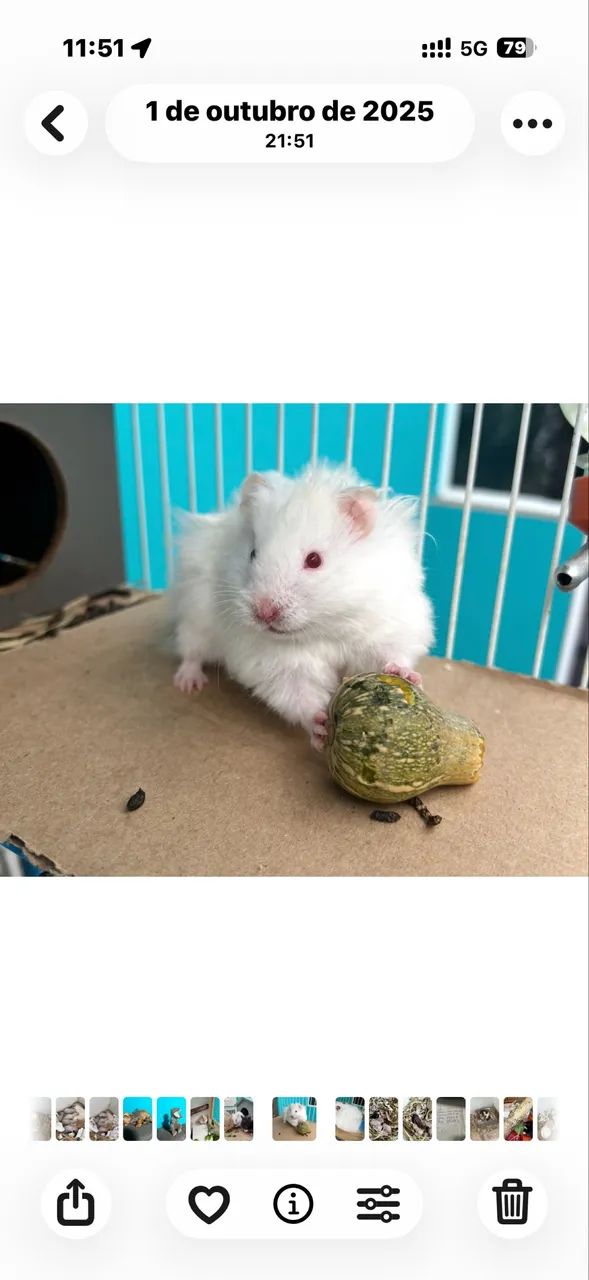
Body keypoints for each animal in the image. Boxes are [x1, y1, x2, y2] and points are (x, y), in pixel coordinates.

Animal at [171, 464, 434, 748]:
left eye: (314, 560)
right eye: (252, 554)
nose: (263, 612)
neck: (325, 626)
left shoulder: (388, 626)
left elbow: (392, 654)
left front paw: (408, 676)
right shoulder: (280, 665)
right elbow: (300, 697)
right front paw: (320, 727)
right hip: (196, 622)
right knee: (191, 652)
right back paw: (188, 682)